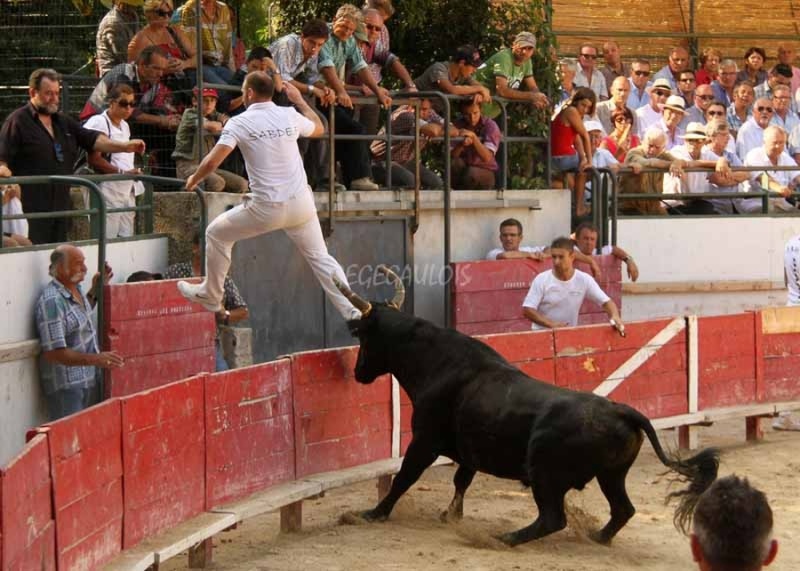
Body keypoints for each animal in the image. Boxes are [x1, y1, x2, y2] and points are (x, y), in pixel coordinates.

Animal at [334, 270, 720, 548]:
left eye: (364, 335)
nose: (359, 372)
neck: (439, 362)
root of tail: (621, 411)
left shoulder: (424, 441)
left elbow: (404, 477)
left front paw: (372, 513)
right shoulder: (470, 448)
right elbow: (461, 479)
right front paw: (450, 515)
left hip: (544, 469)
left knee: (553, 518)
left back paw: (505, 538)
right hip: (612, 474)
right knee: (622, 509)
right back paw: (596, 537)